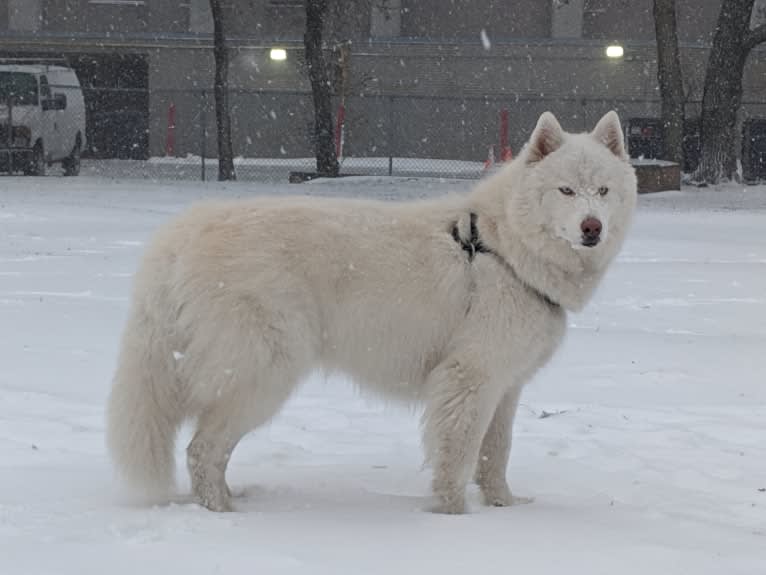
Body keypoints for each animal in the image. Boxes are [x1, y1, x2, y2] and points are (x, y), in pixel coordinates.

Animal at [106, 110, 636, 516]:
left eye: (603, 192)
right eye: (566, 191)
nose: (592, 228)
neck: (504, 247)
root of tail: (181, 234)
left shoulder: (505, 386)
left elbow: (495, 454)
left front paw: (504, 507)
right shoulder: (469, 379)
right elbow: (459, 456)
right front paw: (455, 517)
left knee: (208, 449)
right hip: (264, 372)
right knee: (202, 449)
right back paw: (222, 513)